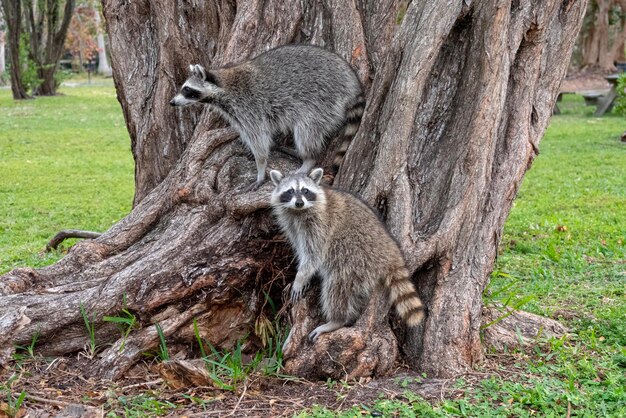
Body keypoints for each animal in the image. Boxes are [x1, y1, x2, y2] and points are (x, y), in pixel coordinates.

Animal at [171, 43, 366, 189]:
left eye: (187, 90)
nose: (172, 102)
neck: (222, 84)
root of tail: (351, 81)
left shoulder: (247, 107)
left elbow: (260, 141)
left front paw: (260, 171)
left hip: (323, 101)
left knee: (306, 131)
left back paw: (308, 159)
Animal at [268, 168, 424, 342]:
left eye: (305, 191)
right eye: (290, 191)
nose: (299, 202)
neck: (297, 212)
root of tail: (390, 250)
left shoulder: (319, 225)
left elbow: (313, 255)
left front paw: (301, 277)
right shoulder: (292, 225)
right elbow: (302, 249)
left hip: (356, 257)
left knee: (337, 286)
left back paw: (337, 320)